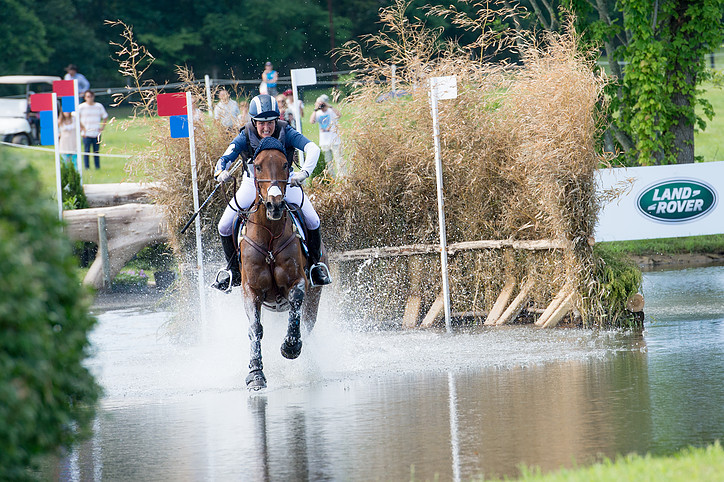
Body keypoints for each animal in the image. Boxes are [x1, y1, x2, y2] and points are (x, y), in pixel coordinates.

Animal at [236, 137, 326, 392]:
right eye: (257, 166)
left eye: (286, 164)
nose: (274, 205)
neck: (269, 236)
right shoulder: (251, 290)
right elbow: (255, 329)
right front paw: (256, 374)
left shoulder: (298, 282)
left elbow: (295, 307)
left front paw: (291, 347)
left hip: (314, 298)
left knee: (307, 323)